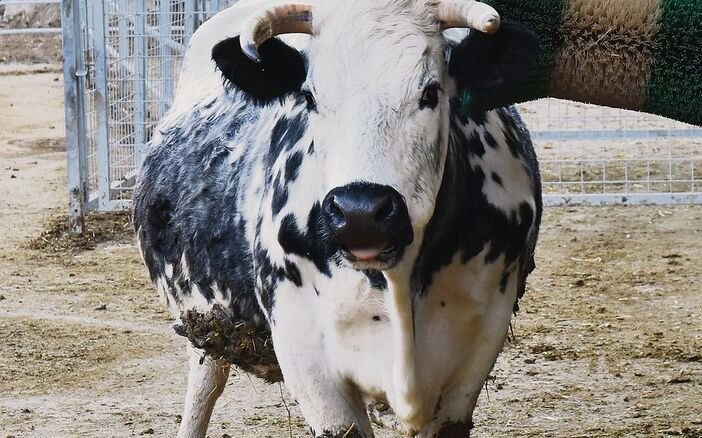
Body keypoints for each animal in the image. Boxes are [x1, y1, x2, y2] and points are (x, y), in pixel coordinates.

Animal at [133, 0, 544, 436]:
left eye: (431, 91)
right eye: (310, 96)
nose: (361, 212)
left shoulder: (474, 355)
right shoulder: (308, 357)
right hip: (205, 320)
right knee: (205, 385)